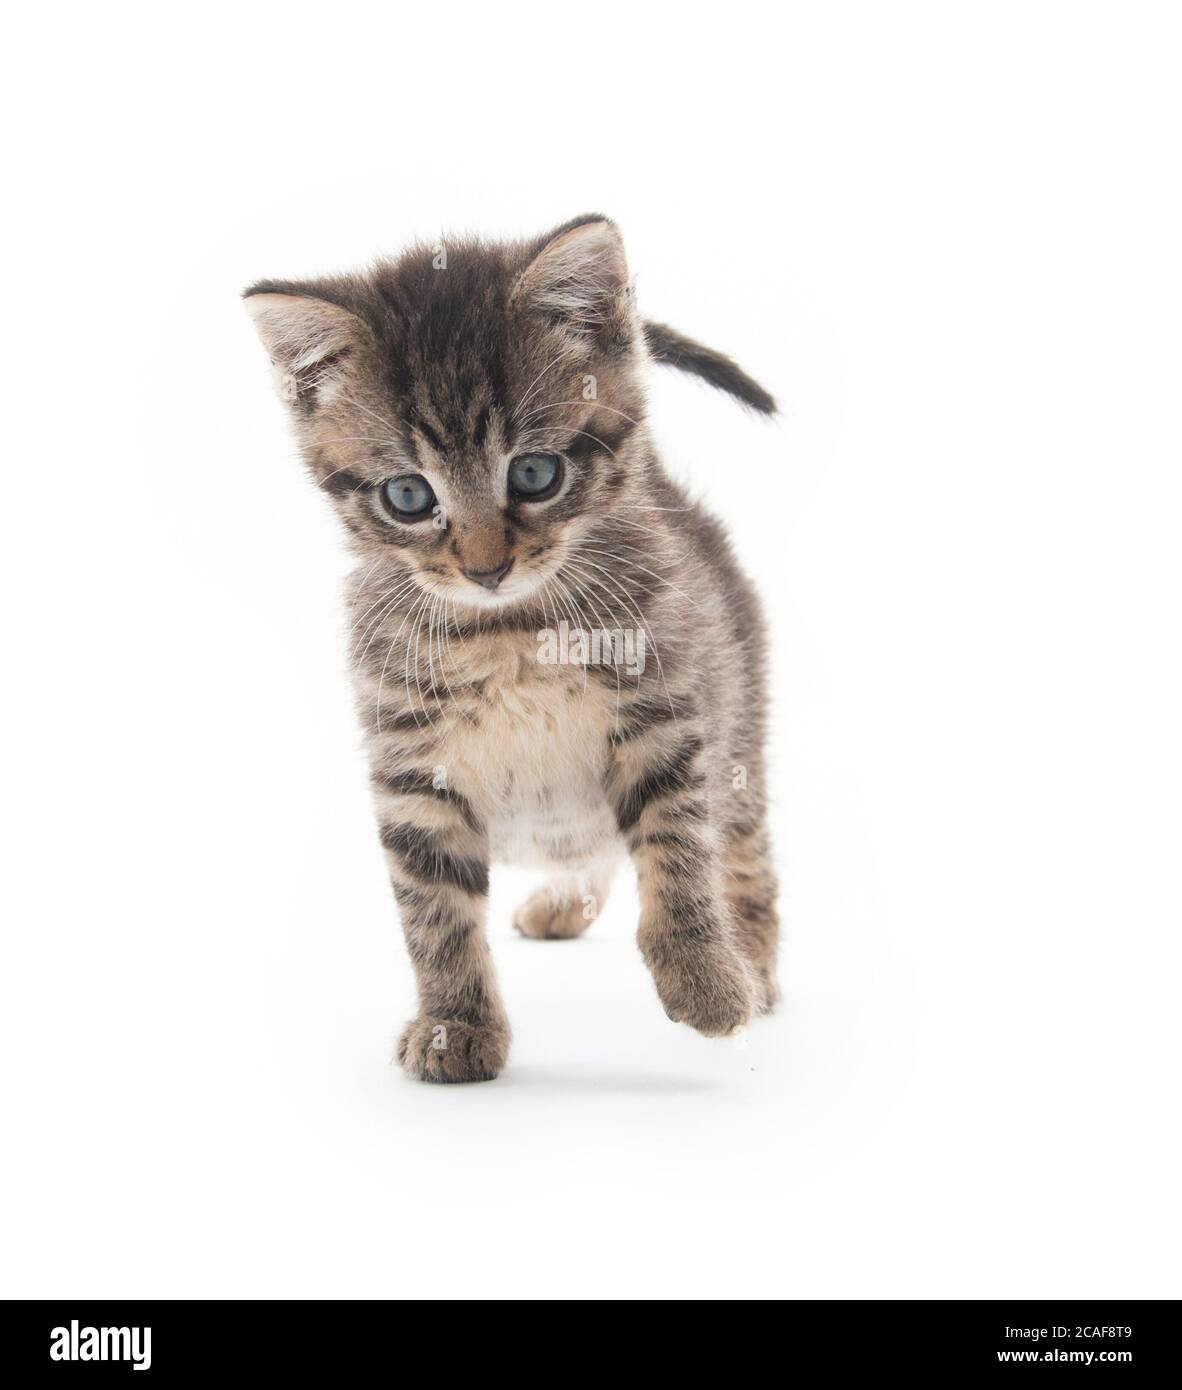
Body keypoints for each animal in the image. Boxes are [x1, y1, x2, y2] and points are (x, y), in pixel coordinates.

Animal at [244, 219, 778, 1084]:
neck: (508, 631)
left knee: (740, 850)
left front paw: (704, 976)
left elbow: (675, 847)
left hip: (742, 727)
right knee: (592, 845)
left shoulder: (665, 714)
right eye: (408, 496)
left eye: (534, 473)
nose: (485, 567)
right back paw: (564, 904)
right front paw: (452, 1025)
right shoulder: (411, 768)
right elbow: (432, 910)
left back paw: (754, 961)